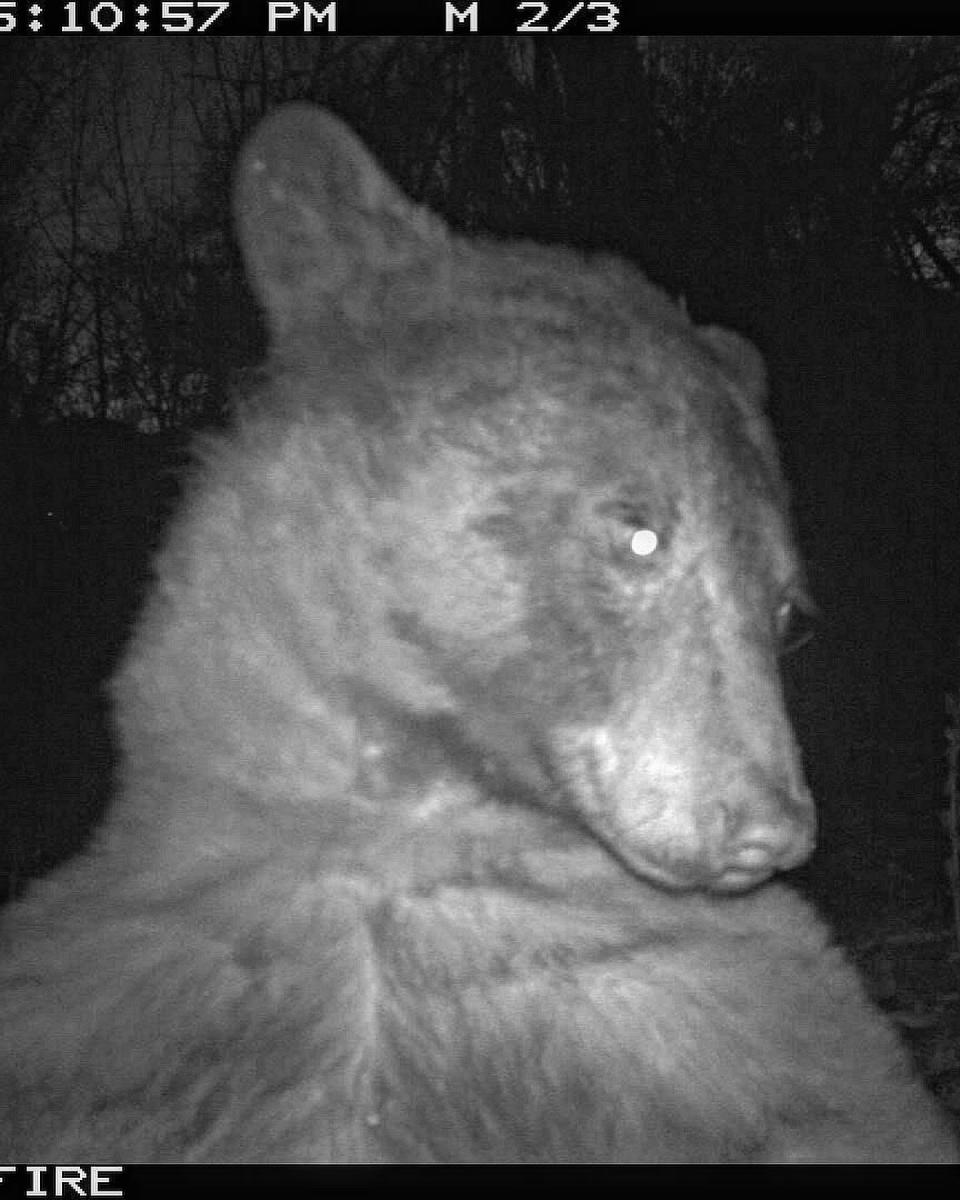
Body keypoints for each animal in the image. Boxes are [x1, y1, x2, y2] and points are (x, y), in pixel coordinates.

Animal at [0, 110, 955, 1161]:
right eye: (641, 532)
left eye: (787, 612)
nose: (771, 825)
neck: (407, 825)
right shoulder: (116, 989)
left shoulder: (733, 1019)